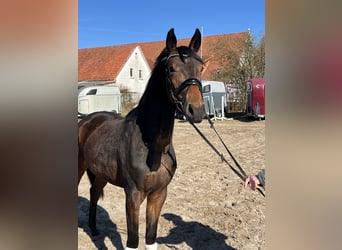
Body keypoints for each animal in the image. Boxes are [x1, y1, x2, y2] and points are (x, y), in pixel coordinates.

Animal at [78, 28, 208, 249]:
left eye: (200, 67)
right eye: (171, 68)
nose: (196, 110)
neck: (153, 146)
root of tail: (87, 120)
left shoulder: (159, 194)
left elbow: (150, 238)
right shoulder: (133, 195)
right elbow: (133, 240)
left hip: (101, 173)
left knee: (94, 192)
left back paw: (94, 229)